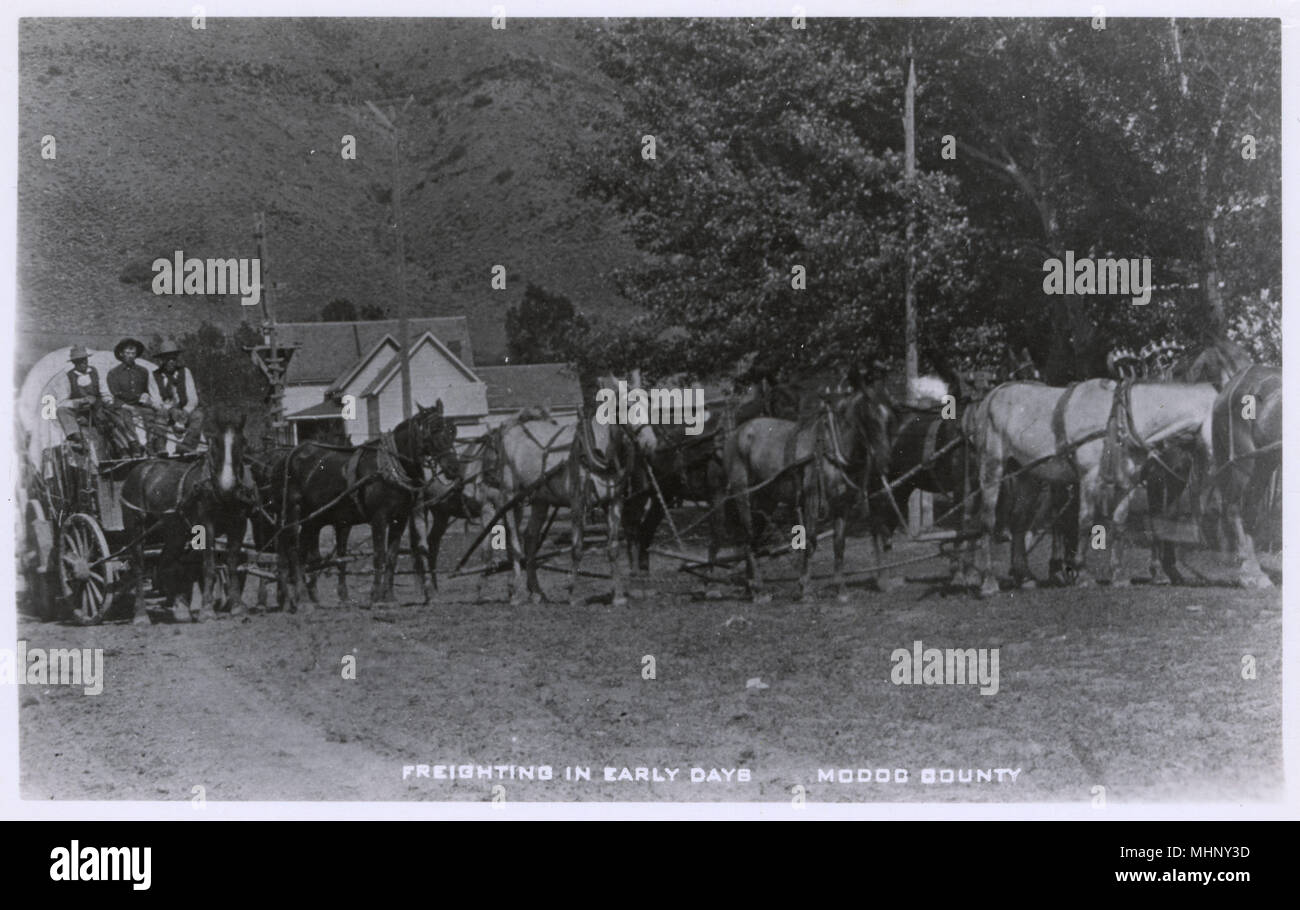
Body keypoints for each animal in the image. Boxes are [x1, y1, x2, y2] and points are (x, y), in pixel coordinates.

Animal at [121, 408, 253, 621]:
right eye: (215, 441)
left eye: (242, 441)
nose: (227, 485)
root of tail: (139, 469)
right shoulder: (207, 526)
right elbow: (209, 566)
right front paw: (207, 610)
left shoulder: (239, 524)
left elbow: (232, 563)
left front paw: (237, 606)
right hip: (135, 527)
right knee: (139, 566)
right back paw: (141, 614)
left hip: (173, 532)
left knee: (167, 562)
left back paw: (180, 608)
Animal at [276, 400, 460, 608]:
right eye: (434, 430)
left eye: (452, 430)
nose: (454, 468)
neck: (389, 468)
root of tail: (293, 452)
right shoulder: (378, 518)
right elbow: (379, 554)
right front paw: (376, 596)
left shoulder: (400, 519)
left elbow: (392, 556)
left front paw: (389, 596)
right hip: (293, 511)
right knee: (291, 547)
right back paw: (296, 597)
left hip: (313, 519)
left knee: (304, 550)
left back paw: (308, 596)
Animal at [967, 379, 1216, 598]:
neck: (1117, 419)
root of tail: (993, 393)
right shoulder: (1089, 477)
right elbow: (1085, 522)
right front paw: (1083, 574)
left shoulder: (1127, 482)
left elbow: (1119, 525)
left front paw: (1118, 575)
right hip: (992, 467)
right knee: (987, 521)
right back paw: (988, 582)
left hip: (1026, 474)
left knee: (1019, 522)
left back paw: (1025, 577)